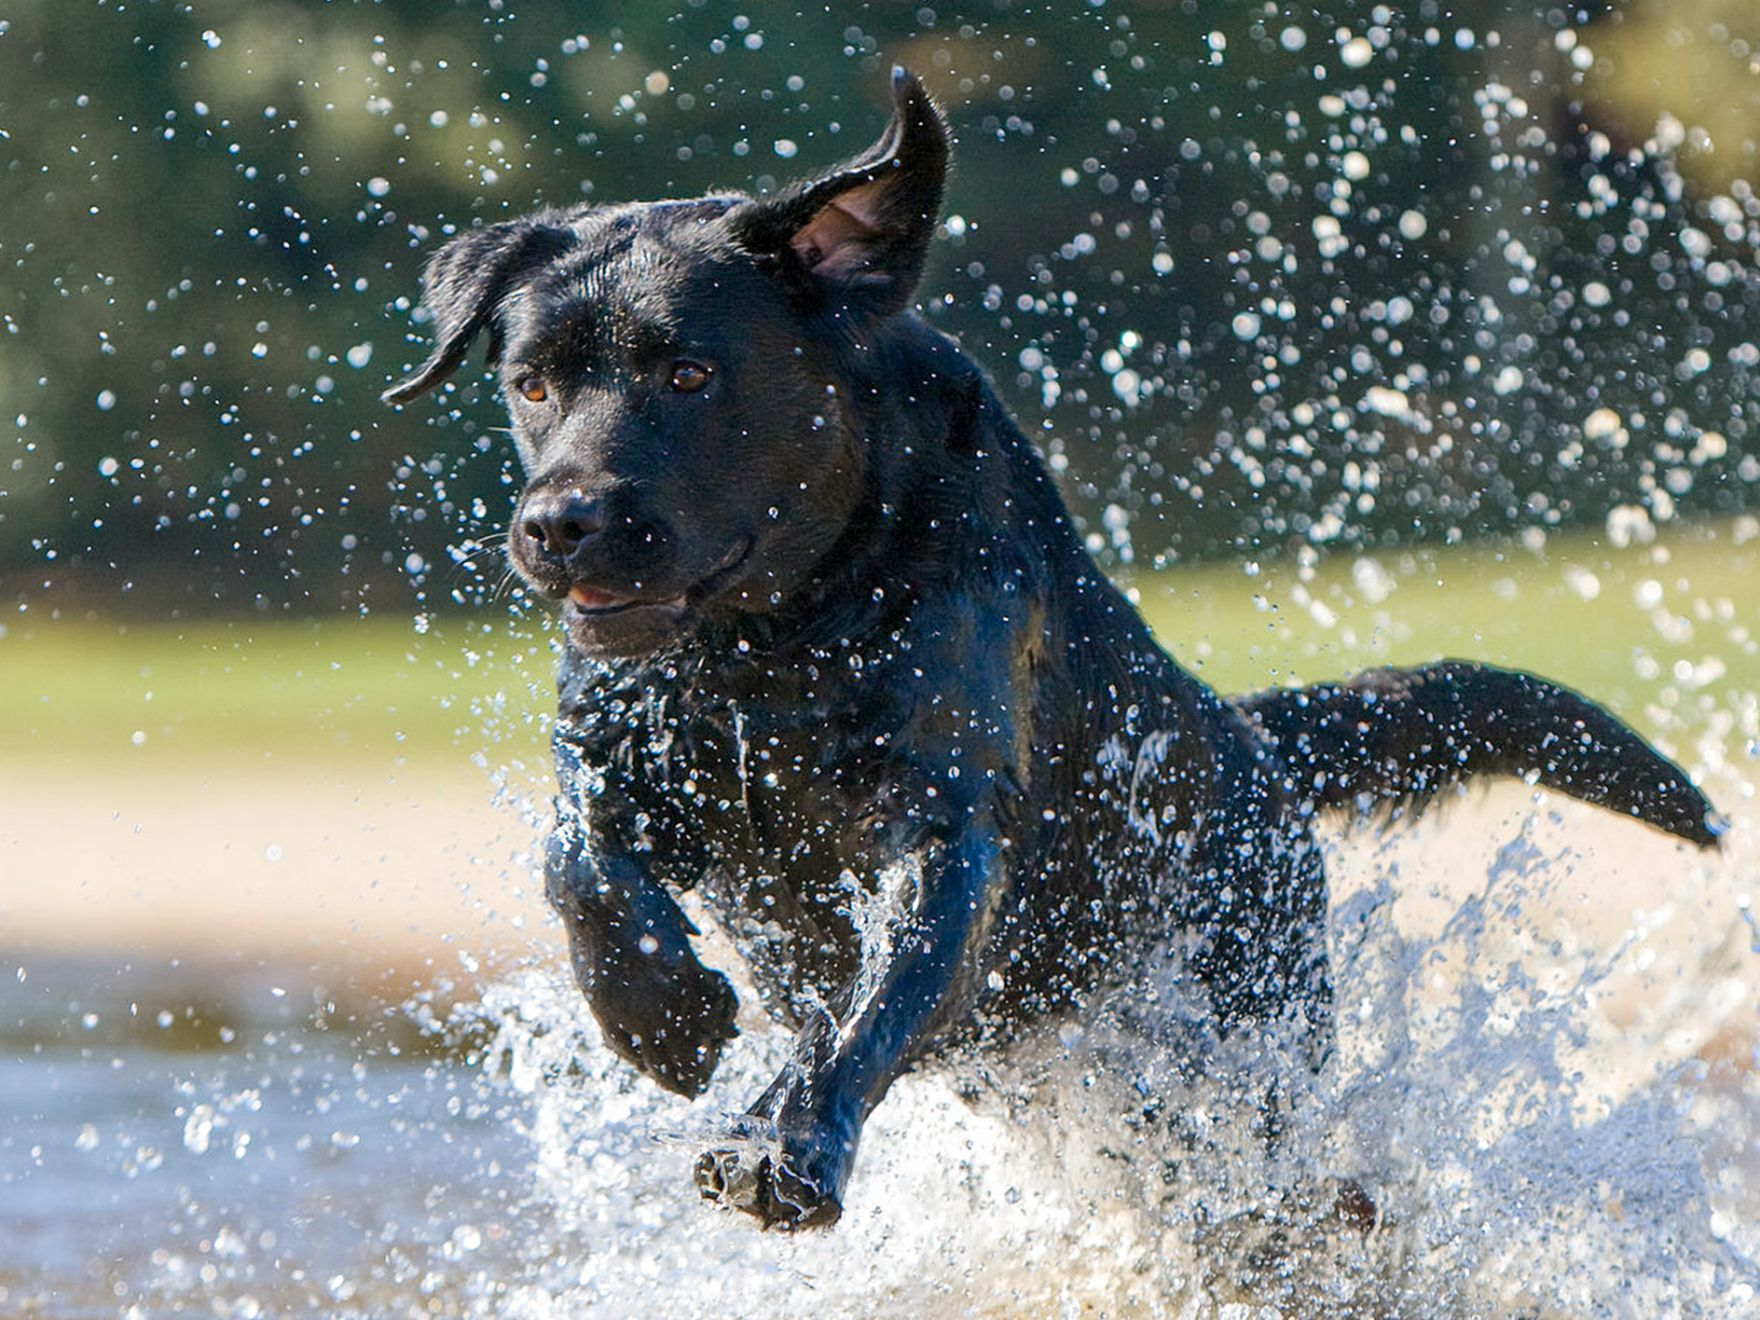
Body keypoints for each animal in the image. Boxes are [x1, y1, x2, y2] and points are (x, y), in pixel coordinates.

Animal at [385, 69, 1717, 1232]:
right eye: (531, 384)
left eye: (687, 371)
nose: (555, 524)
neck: (773, 645)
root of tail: (1242, 735)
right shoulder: (625, 751)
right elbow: (577, 858)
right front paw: (657, 1017)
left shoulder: (945, 827)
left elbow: (881, 996)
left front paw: (781, 1143)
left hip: (1231, 1035)